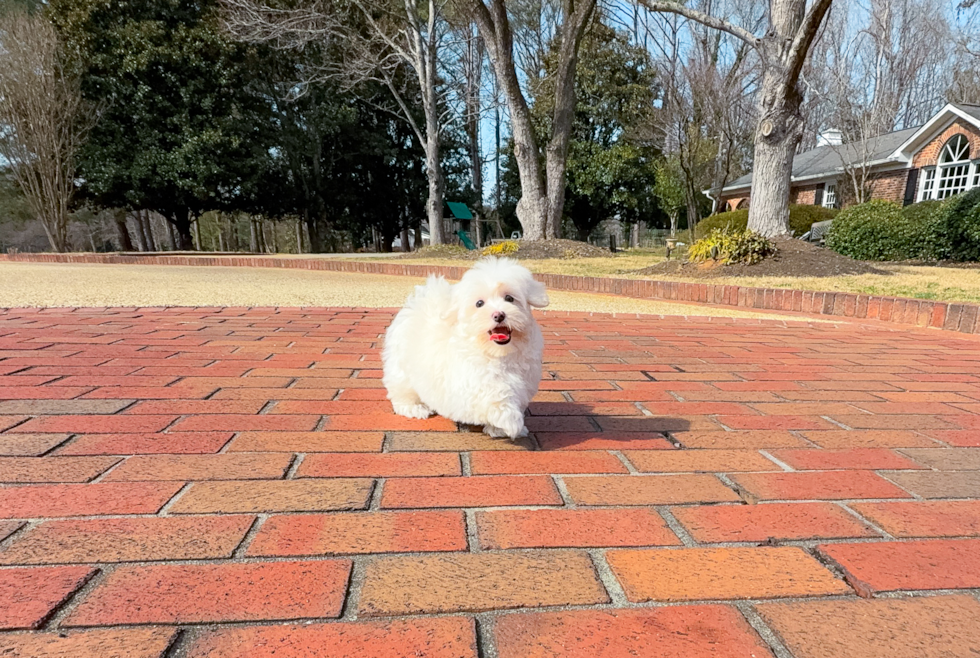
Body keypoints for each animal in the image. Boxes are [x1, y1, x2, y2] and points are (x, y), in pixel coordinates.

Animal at [382, 255, 552, 436]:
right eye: (479, 303)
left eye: (509, 298)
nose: (499, 315)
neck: (498, 353)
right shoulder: (470, 380)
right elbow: (496, 392)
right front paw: (510, 420)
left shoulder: (525, 380)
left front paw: (499, 429)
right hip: (401, 371)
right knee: (402, 391)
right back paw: (414, 408)